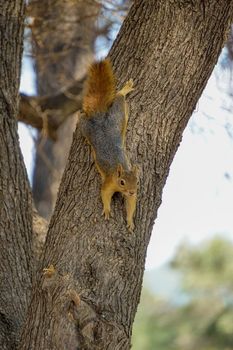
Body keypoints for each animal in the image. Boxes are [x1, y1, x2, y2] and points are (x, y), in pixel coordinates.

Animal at [80, 58, 138, 231]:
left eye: (137, 181)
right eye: (122, 182)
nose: (131, 191)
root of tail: (100, 118)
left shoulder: (132, 195)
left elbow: (131, 204)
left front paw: (130, 221)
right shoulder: (108, 183)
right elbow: (104, 193)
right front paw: (107, 210)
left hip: (118, 116)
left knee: (119, 97)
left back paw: (126, 89)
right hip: (88, 127)